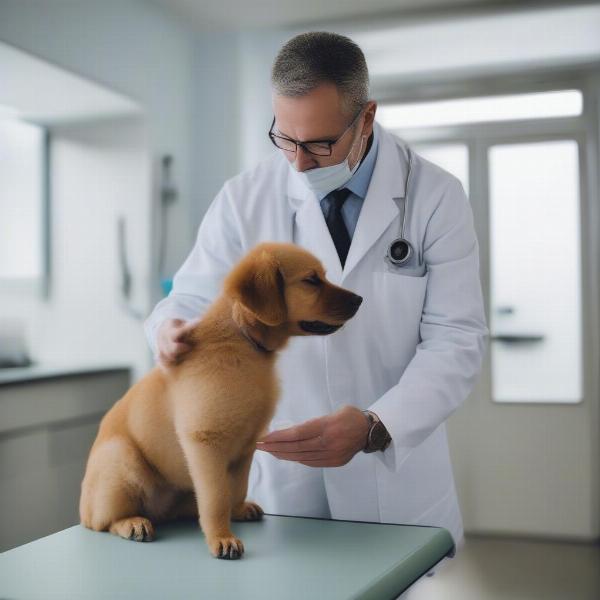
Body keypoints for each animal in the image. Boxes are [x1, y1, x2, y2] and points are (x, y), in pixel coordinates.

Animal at [78, 241, 360, 560]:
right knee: (101, 521)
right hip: (121, 458)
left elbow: (236, 487)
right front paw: (222, 538)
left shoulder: (246, 446)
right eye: (312, 280)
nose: (359, 300)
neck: (242, 341)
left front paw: (237, 510)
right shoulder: (206, 442)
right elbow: (216, 499)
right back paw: (133, 523)